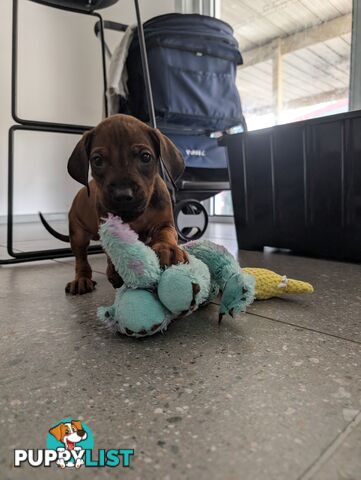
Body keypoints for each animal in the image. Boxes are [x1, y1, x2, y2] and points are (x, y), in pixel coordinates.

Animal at [65, 114, 187, 294]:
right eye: (97, 160)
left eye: (145, 157)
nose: (122, 195)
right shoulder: (107, 226)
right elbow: (113, 248)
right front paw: (116, 269)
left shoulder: (164, 223)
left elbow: (166, 234)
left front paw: (168, 250)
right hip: (77, 233)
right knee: (81, 259)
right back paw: (82, 279)